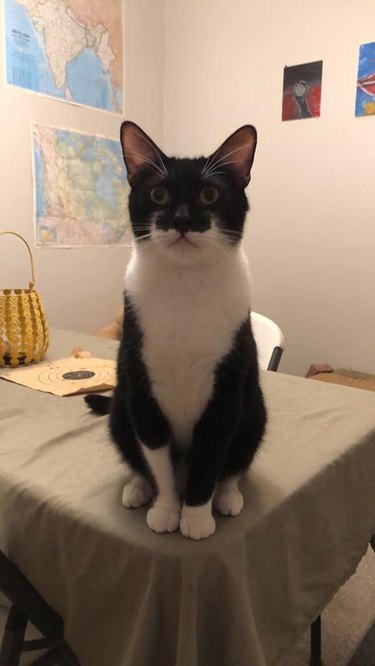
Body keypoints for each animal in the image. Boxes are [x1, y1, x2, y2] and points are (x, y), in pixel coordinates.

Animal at [86, 122, 268, 540]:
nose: (183, 219)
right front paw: (167, 508)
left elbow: (209, 456)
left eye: (209, 194)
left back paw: (228, 495)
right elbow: (158, 456)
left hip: (255, 411)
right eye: (158, 193)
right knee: (135, 451)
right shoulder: (141, 385)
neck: (185, 283)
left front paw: (196, 516)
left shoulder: (226, 390)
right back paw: (138, 488)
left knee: (235, 461)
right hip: (120, 410)